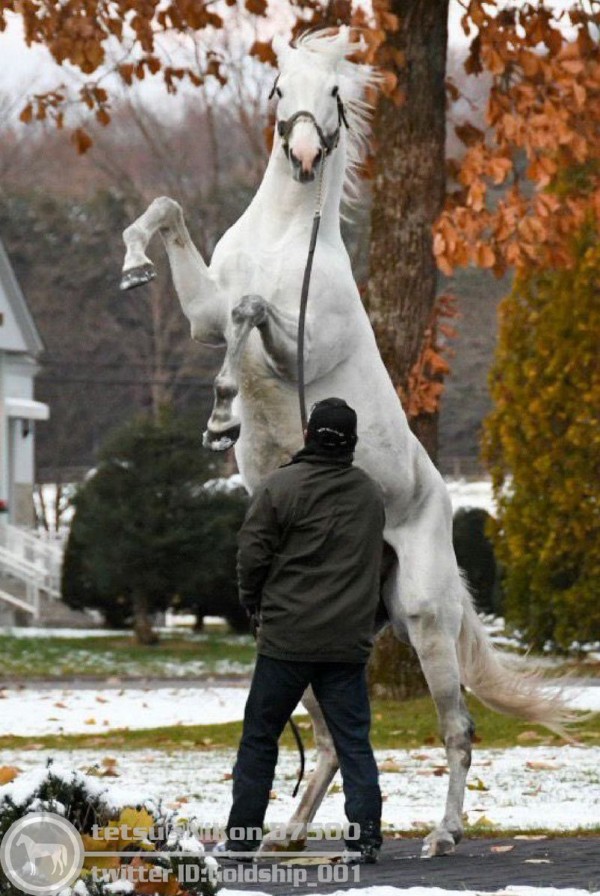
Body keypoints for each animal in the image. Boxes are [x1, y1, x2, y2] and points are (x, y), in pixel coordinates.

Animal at [119, 28, 576, 856]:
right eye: (278, 87)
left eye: (332, 94)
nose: (303, 153)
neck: (285, 237)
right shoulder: (201, 312)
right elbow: (176, 223)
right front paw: (134, 264)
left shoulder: (292, 345)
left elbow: (251, 311)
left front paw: (223, 412)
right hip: (324, 637)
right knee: (333, 737)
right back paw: (289, 834)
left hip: (424, 618)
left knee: (457, 728)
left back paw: (442, 835)